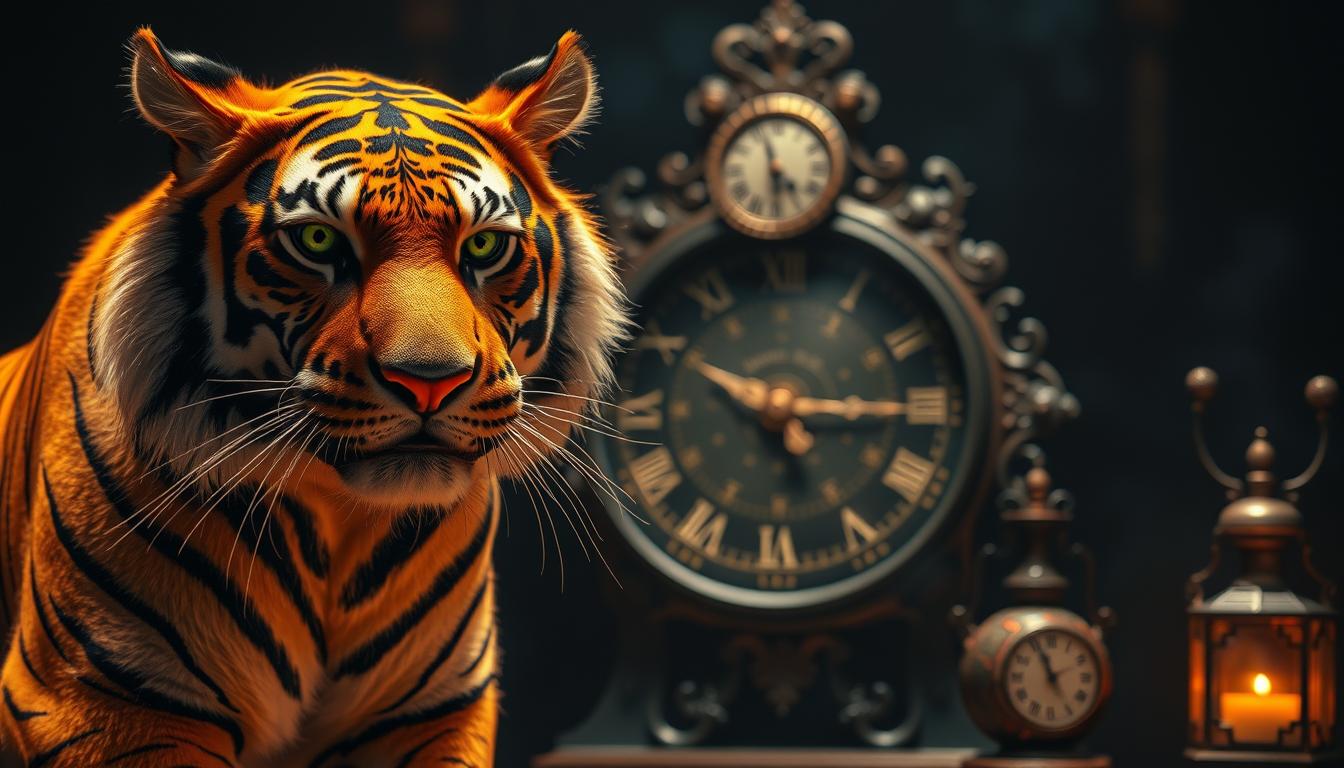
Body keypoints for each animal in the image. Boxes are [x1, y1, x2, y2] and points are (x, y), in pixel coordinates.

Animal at [0, 26, 625, 767]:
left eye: (483, 247)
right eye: (317, 239)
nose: (431, 380)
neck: (339, 520)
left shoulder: (431, 714)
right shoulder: (108, 702)